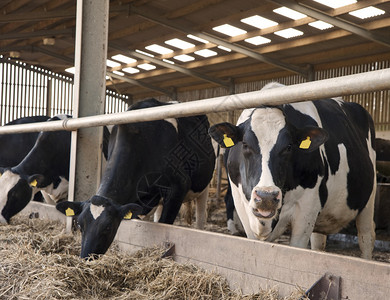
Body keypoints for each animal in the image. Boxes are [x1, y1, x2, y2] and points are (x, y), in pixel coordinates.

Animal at [57, 98, 216, 258]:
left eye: (108, 227)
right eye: (80, 224)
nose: (86, 257)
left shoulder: (179, 187)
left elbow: (166, 224)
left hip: (204, 185)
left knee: (200, 216)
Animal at [209, 82, 376, 260]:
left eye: (289, 147)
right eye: (245, 144)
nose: (266, 196)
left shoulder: (308, 207)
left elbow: (296, 249)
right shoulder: (242, 204)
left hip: (369, 199)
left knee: (366, 237)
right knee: (318, 241)